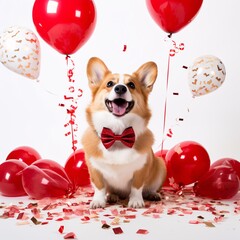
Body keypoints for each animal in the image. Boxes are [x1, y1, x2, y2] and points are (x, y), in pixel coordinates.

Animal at [81, 56, 166, 208]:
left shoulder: (141, 168)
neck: (118, 134)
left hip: (160, 165)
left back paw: (152, 194)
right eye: (109, 84)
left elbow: (136, 187)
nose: (120, 88)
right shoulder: (94, 169)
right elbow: (100, 187)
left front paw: (136, 201)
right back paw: (112, 196)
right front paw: (98, 201)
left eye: (131, 85)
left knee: (150, 188)